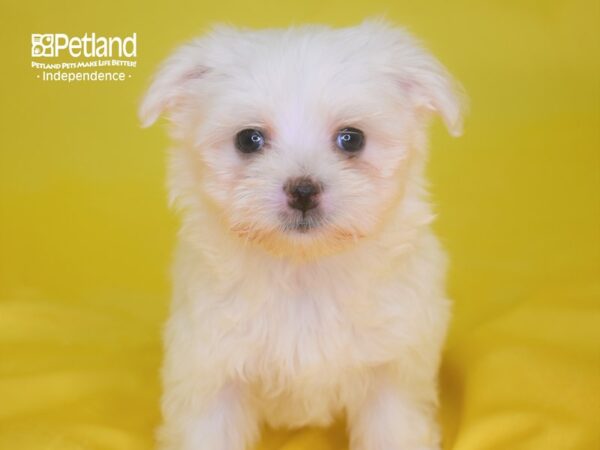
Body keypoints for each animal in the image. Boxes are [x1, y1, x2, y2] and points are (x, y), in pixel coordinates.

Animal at [139, 18, 464, 450]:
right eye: (249, 139)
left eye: (352, 138)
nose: (304, 190)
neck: (303, 271)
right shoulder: (211, 370)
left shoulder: (393, 372)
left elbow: (394, 430)